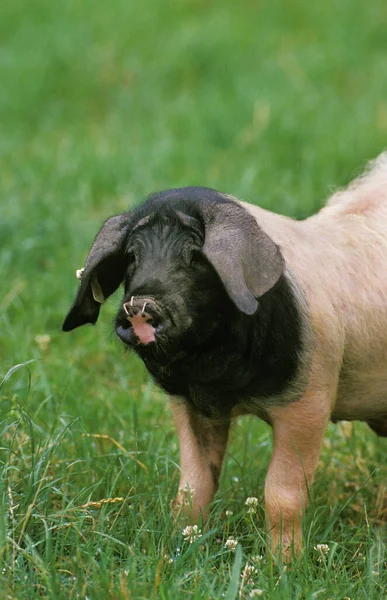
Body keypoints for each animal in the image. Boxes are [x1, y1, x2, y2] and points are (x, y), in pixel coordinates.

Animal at [62, 154, 387, 556]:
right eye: (132, 257)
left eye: (195, 258)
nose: (140, 305)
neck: (220, 381)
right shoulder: (189, 404)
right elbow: (193, 486)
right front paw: (179, 547)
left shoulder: (311, 400)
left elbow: (282, 494)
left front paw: (282, 564)